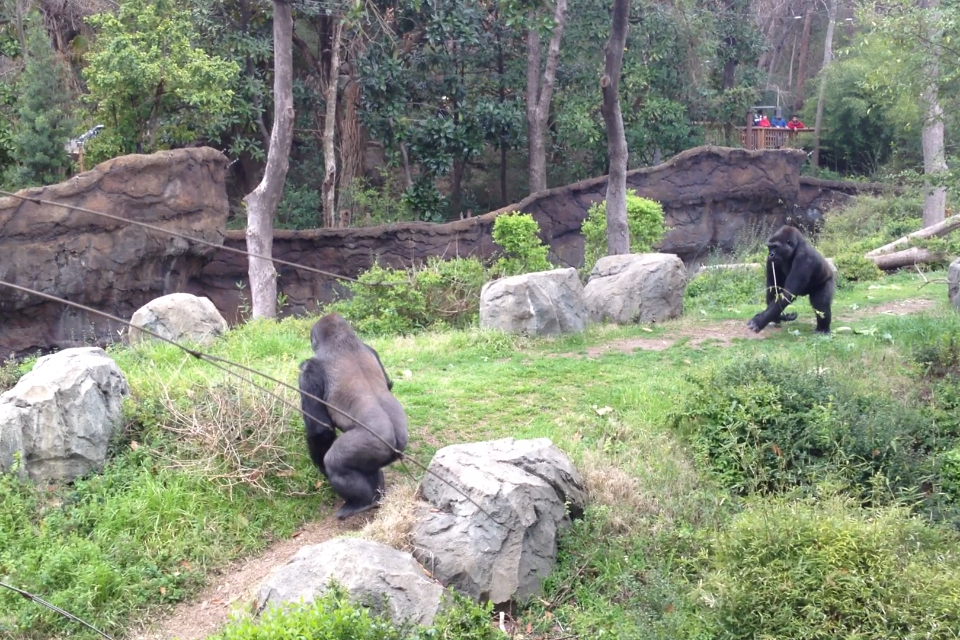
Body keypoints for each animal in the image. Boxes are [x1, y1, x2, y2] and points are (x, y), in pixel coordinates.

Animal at [298, 314, 406, 520]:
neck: (343, 343)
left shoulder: (308, 371)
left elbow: (320, 430)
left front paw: (321, 468)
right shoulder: (372, 350)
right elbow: (388, 384)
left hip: (372, 443)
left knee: (336, 464)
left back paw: (360, 504)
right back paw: (375, 498)